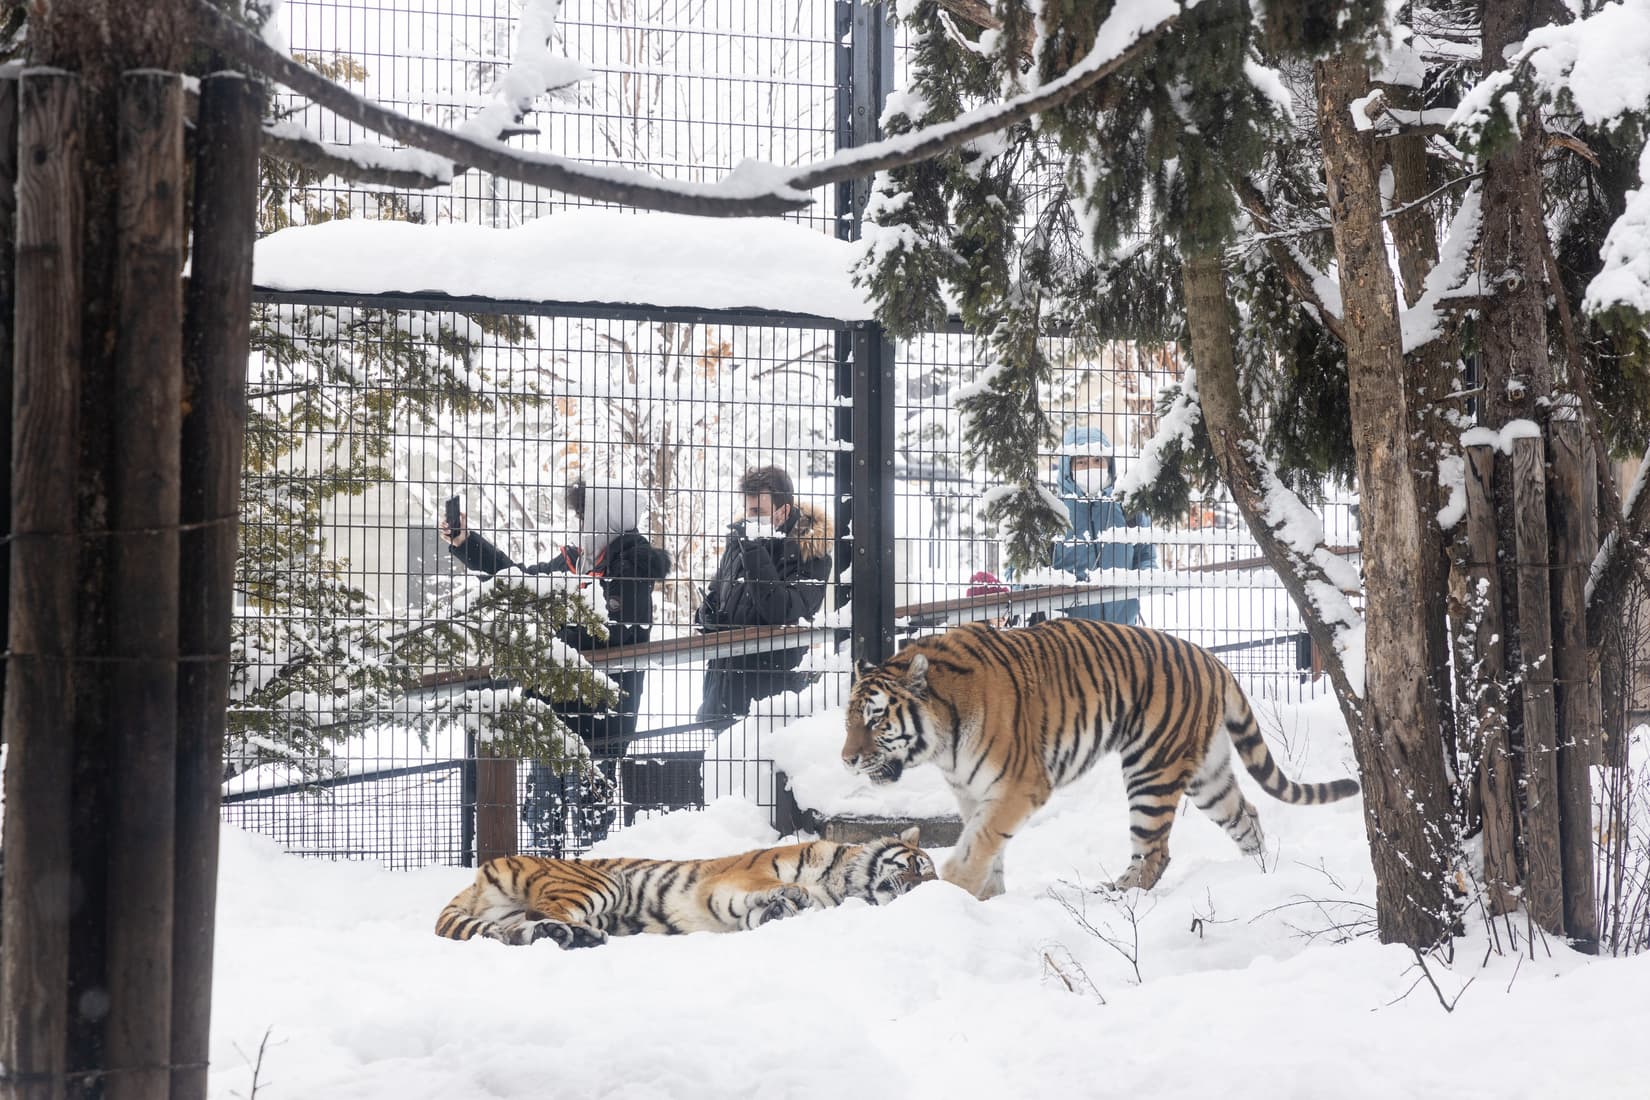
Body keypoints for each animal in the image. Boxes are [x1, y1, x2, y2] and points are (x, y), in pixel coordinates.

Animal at [840, 618, 1359, 899]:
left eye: (875, 720)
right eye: (848, 719)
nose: (846, 760)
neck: (943, 739)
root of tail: (1212, 660)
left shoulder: (1019, 785)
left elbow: (980, 843)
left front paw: (953, 890)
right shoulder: (973, 792)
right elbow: (987, 847)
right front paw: (986, 900)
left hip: (1153, 768)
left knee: (1155, 852)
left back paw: (1115, 896)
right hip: (1207, 775)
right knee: (1245, 815)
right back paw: (1259, 873)